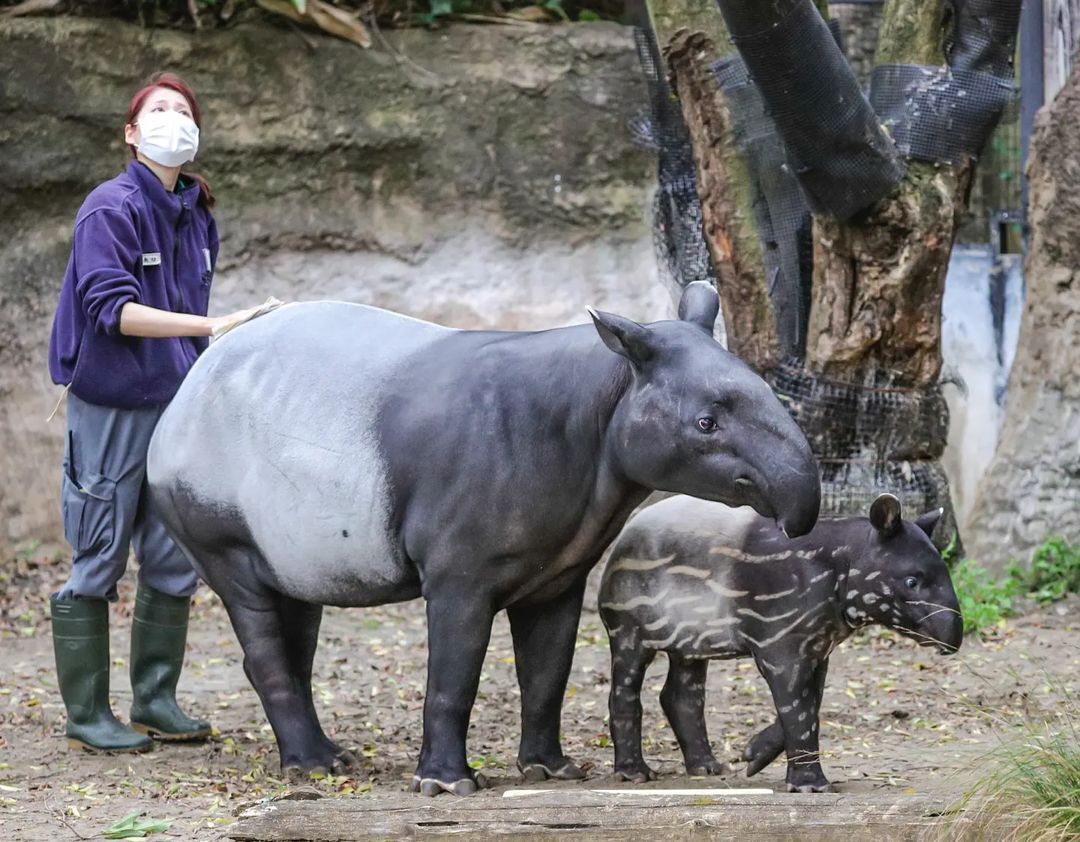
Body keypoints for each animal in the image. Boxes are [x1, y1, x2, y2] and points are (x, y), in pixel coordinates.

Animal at [600, 490, 963, 794]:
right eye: (912, 581)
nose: (953, 639)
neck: (839, 563)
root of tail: (624, 536)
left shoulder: (818, 646)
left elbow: (812, 703)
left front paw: (752, 755)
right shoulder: (781, 640)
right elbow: (798, 710)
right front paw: (811, 786)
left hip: (692, 633)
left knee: (682, 693)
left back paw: (706, 767)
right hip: (628, 620)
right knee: (626, 686)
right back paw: (634, 772)